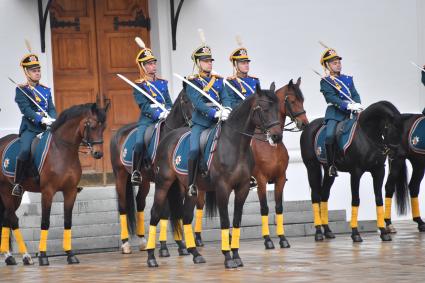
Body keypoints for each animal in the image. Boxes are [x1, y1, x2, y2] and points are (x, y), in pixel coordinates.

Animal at [0, 102, 107, 266]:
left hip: (16, 194)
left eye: (104, 128)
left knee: (6, 219)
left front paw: (70, 254)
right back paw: (25, 256)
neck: (62, 149)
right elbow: (45, 222)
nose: (98, 154)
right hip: (5, 191)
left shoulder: (70, 191)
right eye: (92, 126)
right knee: (13, 219)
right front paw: (43, 256)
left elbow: (68, 221)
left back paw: (10, 256)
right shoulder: (48, 192)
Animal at [111, 91, 194, 258]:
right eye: (186, 101)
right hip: (120, 175)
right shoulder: (163, 181)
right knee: (123, 205)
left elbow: (175, 210)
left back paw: (143, 241)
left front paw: (181, 245)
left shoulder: (178, 183)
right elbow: (164, 211)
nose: (193, 123)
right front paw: (164, 248)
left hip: (144, 181)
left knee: (140, 203)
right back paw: (125, 244)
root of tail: (118, 133)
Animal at [145, 83, 282, 270]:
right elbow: (224, 221)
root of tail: (167, 138)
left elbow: (236, 221)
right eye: (265, 109)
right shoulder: (222, 189)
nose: (277, 136)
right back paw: (151, 256)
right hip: (163, 184)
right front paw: (228, 258)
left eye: (278, 108)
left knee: (186, 217)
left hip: (189, 190)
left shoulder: (243, 188)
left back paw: (195, 254)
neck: (235, 145)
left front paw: (236, 255)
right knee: (155, 213)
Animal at [192, 79, 308, 250]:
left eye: (302, 100)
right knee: (200, 206)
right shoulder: (261, 180)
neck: (269, 145)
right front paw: (268, 240)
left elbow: (278, 207)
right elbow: (264, 208)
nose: (304, 123)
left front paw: (282, 238)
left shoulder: (280, 178)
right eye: (292, 101)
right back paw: (198, 238)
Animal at [298, 102, 400, 244]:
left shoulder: (379, 171)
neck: (368, 134)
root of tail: (308, 127)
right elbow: (355, 200)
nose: (395, 152)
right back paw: (318, 232)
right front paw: (355, 233)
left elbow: (379, 199)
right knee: (315, 196)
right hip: (312, 167)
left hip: (328, 171)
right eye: (391, 126)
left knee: (324, 196)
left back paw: (327, 231)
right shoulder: (356, 172)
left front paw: (384, 232)